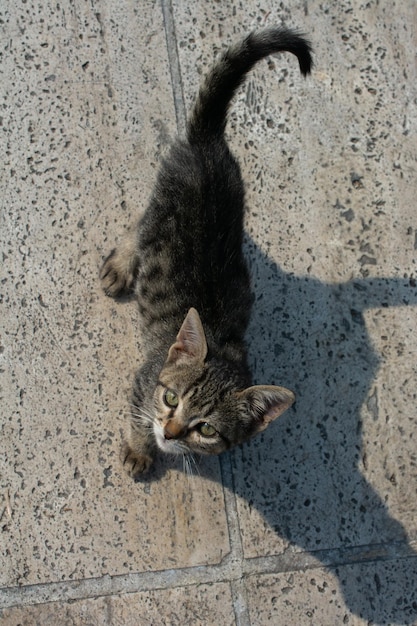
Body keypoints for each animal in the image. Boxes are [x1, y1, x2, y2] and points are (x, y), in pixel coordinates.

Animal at [99, 23, 310, 472]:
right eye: (171, 398)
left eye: (207, 429)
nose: (170, 432)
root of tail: (208, 141)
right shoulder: (143, 381)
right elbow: (138, 418)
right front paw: (140, 450)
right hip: (158, 208)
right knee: (137, 224)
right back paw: (122, 265)